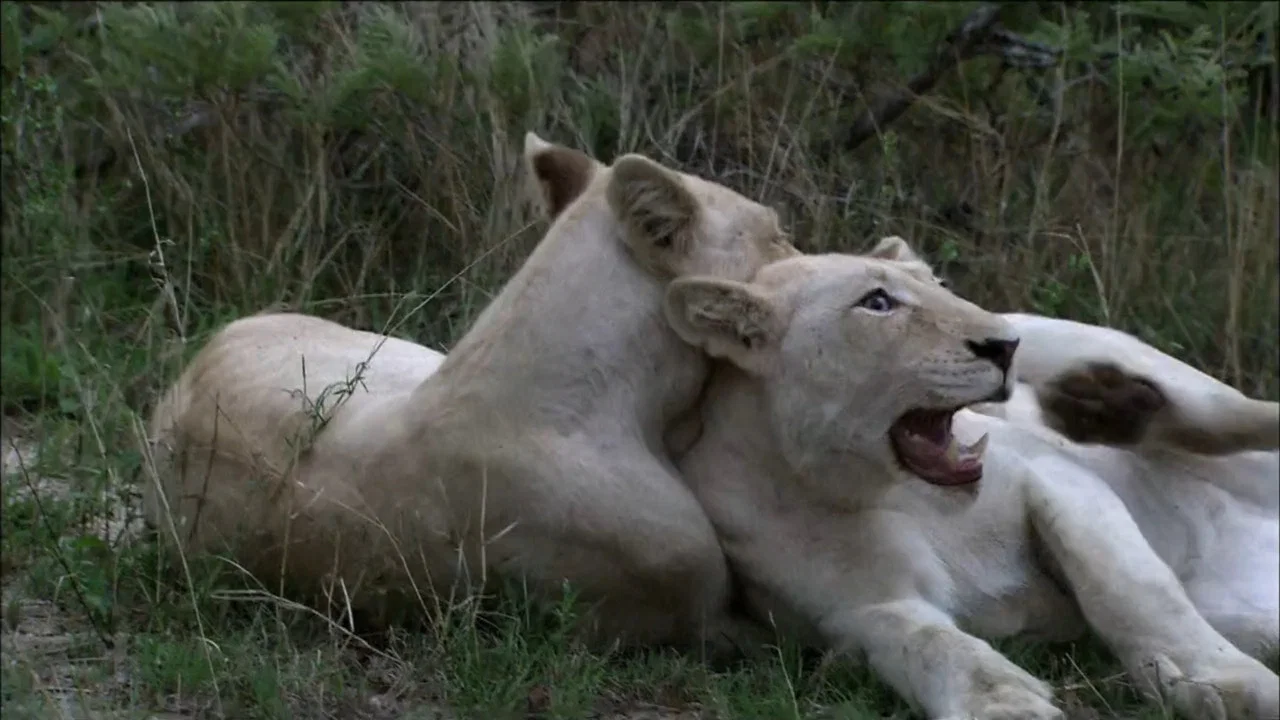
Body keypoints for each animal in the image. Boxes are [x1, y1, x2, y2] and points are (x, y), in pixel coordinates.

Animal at [665, 251, 1279, 719]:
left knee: (1242, 414)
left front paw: (1230, 685)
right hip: (1250, 617)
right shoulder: (853, 611)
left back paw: (1108, 406)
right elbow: (925, 641)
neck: (893, 493)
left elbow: (1133, 590)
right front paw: (1004, 703)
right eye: (878, 302)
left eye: (939, 285)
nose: (1004, 346)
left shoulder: (1058, 478)